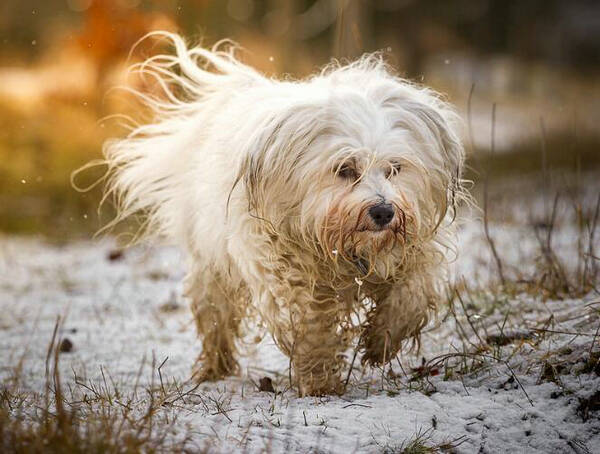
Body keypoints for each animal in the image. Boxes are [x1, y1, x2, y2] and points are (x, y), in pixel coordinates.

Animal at [98, 32, 466, 394]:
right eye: (345, 169)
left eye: (394, 168)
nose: (383, 211)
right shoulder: (282, 270)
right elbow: (310, 322)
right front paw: (319, 379)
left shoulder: (414, 249)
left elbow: (412, 293)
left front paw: (381, 341)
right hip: (211, 267)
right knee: (215, 317)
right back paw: (213, 369)